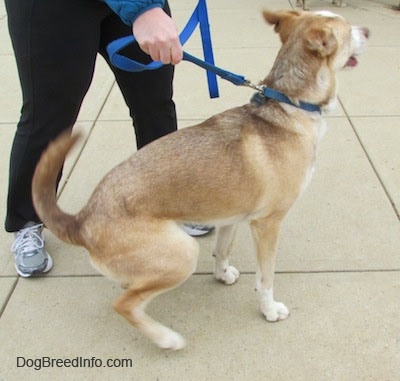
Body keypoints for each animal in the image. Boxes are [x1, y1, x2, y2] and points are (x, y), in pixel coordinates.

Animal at [31, 8, 368, 348]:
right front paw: (269, 310)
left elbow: (223, 250)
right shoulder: (267, 225)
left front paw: (222, 274)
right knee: (125, 304)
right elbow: (266, 278)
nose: (367, 30)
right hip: (182, 254)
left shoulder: (232, 217)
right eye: (345, 28)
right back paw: (165, 338)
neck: (289, 104)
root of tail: (83, 220)